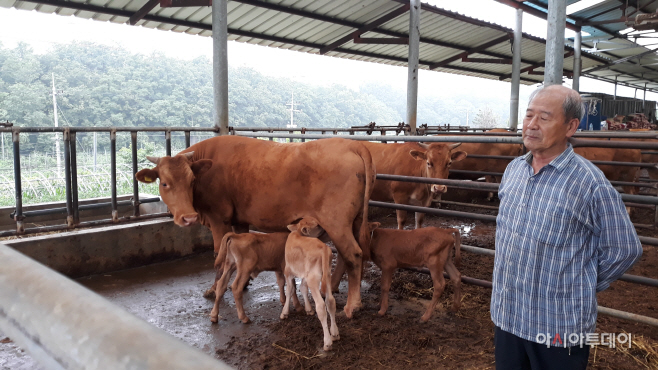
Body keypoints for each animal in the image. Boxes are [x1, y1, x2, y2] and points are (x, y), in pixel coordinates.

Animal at [135, 136, 374, 318]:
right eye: (165, 183)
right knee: (348, 256)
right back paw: (332, 288)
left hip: (336, 222)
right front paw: (244, 282)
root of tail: (351, 143)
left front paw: (214, 289)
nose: (188, 217)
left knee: (352, 254)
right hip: (352, 222)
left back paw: (352, 305)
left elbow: (219, 255)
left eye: (192, 181)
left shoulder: (219, 218)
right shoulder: (239, 219)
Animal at [280, 220, 338, 352]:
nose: (324, 227)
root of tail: (324, 247)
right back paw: (335, 333)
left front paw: (284, 312)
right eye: (317, 225)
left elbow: (290, 289)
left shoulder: (288, 271)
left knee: (321, 306)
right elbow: (302, 288)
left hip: (313, 278)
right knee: (331, 301)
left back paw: (327, 342)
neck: (297, 232)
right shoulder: (304, 275)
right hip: (327, 275)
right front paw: (308, 309)